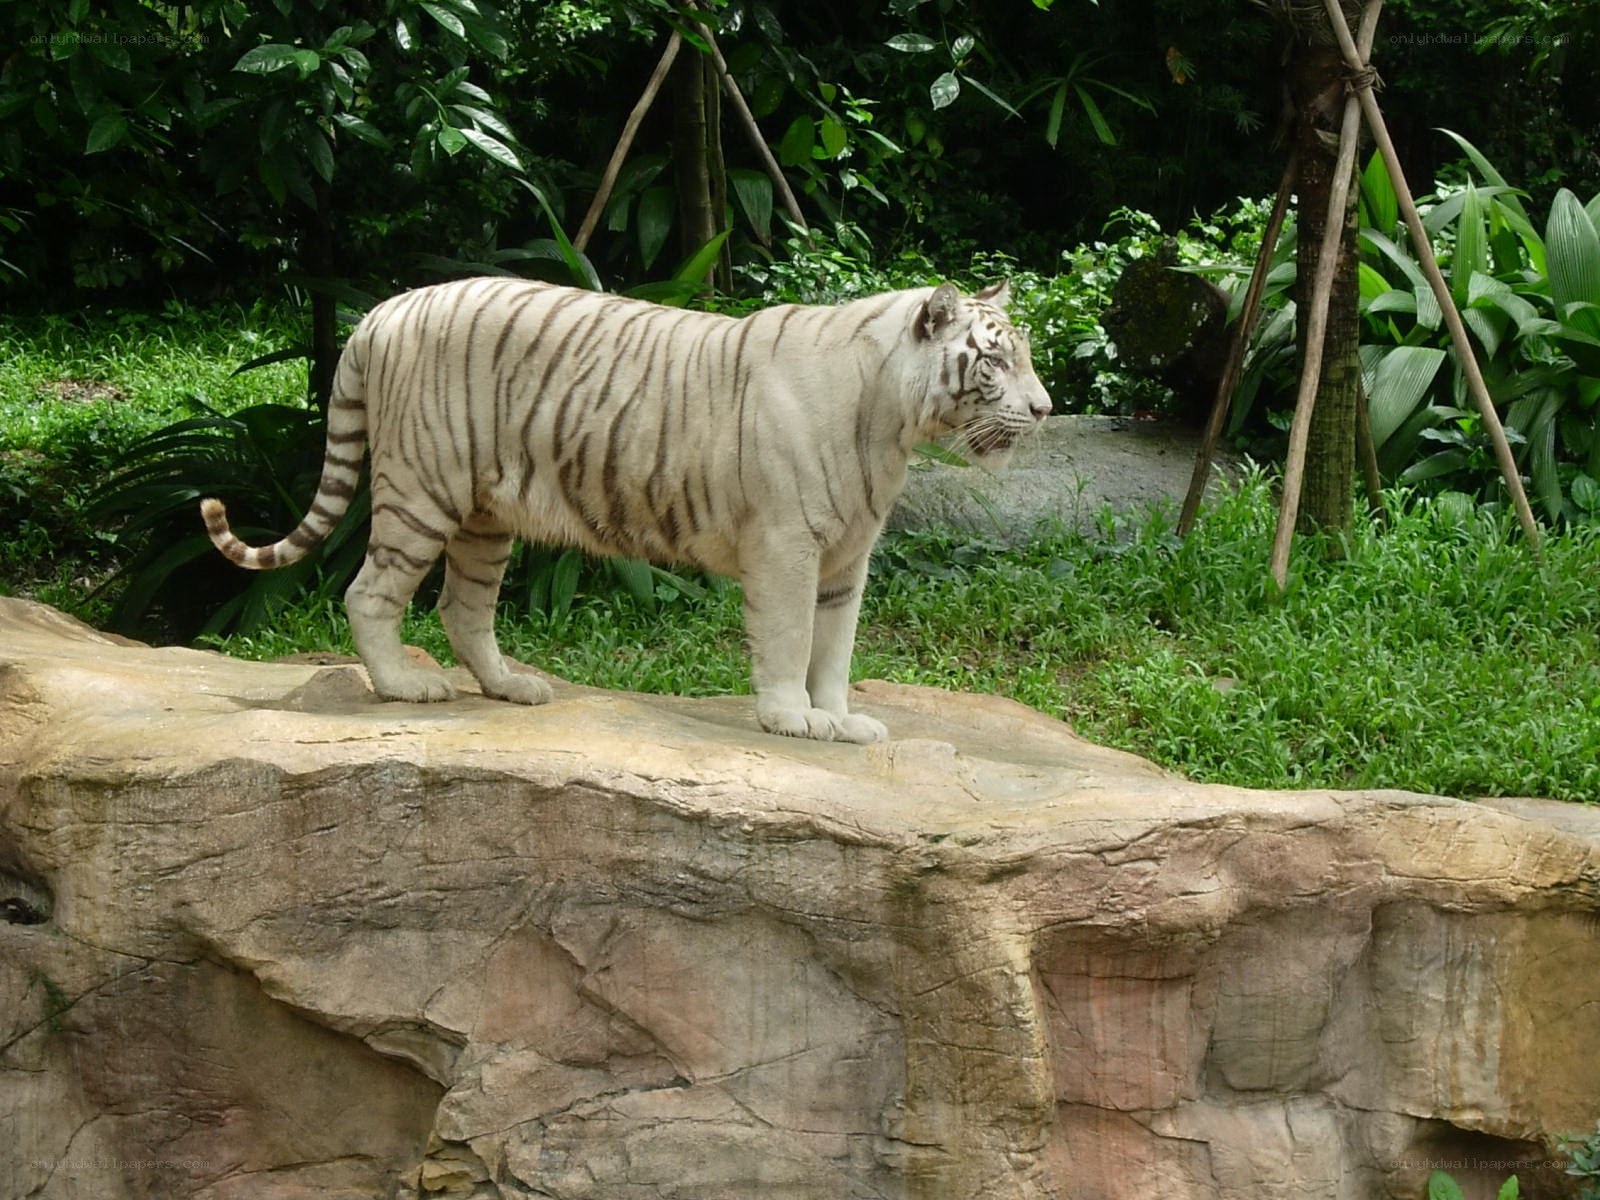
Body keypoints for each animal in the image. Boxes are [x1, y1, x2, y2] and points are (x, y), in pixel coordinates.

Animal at [201, 276, 1051, 744]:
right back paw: (406, 688)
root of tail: (380, 313)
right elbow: (787, 643)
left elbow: (833, 652)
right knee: (369, 593)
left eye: (1027, 356)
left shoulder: (847, 558)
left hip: (484, 515)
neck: (892, 425)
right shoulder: (787, 547)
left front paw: (841, 720)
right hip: (422, 490)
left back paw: (512, 686)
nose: (1045, 410)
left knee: (462, 609)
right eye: (995, 358)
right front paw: (791, 719)